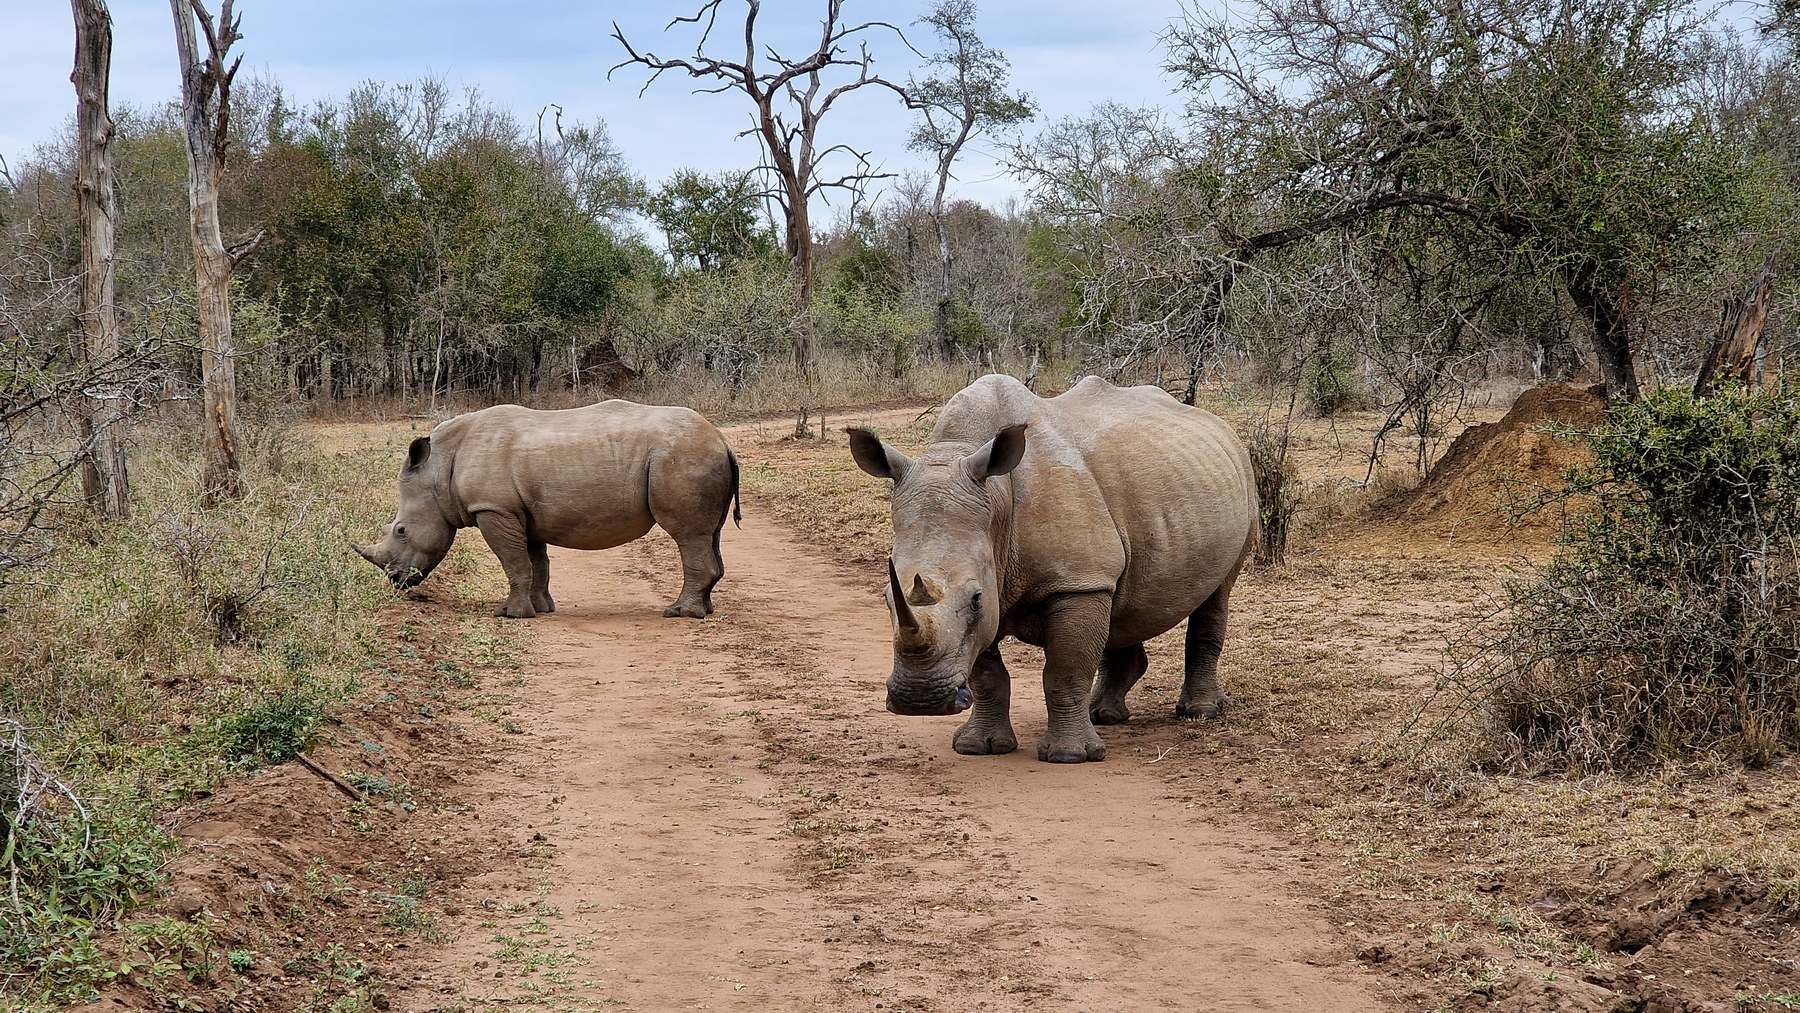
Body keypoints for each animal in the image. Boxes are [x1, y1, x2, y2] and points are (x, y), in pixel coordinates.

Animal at [351, 403, 738, 622]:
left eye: (400, 530)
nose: (396, 581)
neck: (438, 471)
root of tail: (721, 439)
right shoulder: (521, 512)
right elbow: (536, 562)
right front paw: (541, 609)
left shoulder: (494, 508)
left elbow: (514, 562)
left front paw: (510, 615)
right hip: (696, 456)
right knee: (710, 534)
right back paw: (704, 611)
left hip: (682, 457)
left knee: (687, 535)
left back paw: (679, 614)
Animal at [849, 376, 1260, 766]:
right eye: (886, 598)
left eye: (976, 598)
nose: (919, 700)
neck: (995, 495)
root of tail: (1217, 424)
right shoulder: (1007, 580)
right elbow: (987, 674)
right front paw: (978, 747)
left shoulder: (1075, 582)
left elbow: (1064, 671)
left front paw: (1070, 756)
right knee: (1122, 602)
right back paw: (1104, 714)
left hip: (1242, 480)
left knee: (1217, 592)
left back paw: (1199, 713)